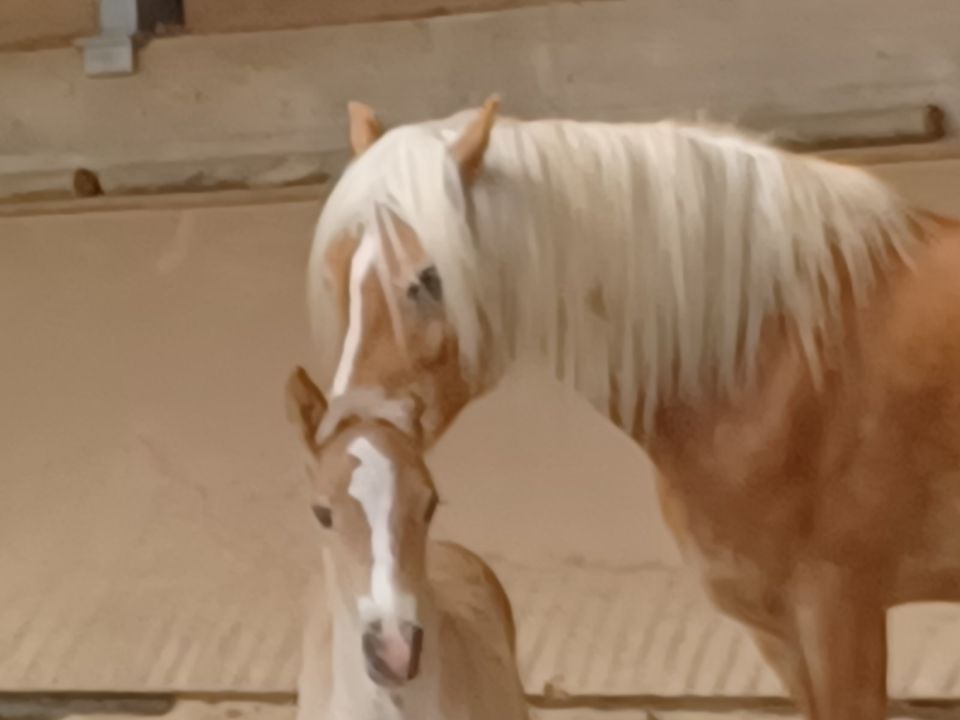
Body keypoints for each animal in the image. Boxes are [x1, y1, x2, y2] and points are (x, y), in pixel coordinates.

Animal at [308, 97, 960, 720]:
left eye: (428, 278)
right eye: (341, 269)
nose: (354, 437)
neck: (783, 351)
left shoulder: (840, 615)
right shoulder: (779, 634)